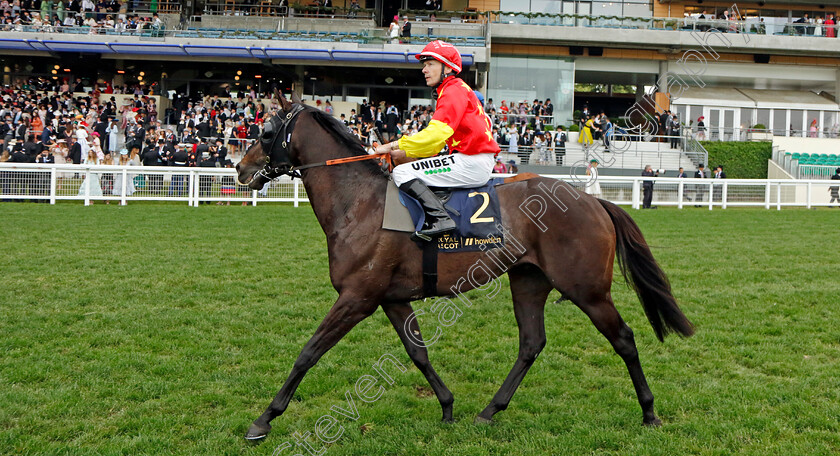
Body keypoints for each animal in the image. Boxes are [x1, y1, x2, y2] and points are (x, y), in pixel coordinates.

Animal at [236, 91, 696, 440]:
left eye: (266, 130)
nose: (241, 168)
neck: (360, 203)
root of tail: (593, 201)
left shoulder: (357, 298)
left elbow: (308, 353)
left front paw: (264, 419)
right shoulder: (391, 298)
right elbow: (418, 354)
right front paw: (447, 405)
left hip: (588, 289)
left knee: (624, 339)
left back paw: (649, 412)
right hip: (529, 281)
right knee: (531, 343)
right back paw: (490, 410)